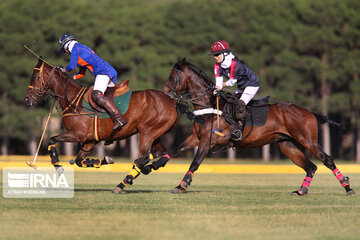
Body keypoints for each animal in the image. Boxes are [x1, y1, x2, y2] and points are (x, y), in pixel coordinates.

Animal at [23, 59, 179, 194]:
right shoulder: (90, 140)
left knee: (142, 158)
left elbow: (52, 139)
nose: (27, 99)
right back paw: (148, 169)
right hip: (155, 133)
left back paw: (121, 185)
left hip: (147, 132)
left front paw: (58, 165)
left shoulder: (77, 134)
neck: (74, 101)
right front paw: (104, 160)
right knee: (161, 154)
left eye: (35, 77)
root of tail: (171, 101)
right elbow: (79, 161)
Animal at [163, 58, 354, 197]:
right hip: (287, 145)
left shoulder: (209, 140)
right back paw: (302, 190)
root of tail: (310, 112)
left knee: (327, 159)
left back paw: (347, 187)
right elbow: (175, 150)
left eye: (172, 76)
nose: (166, 93)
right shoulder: (196, 137)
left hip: (308, 140)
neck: (209, 104)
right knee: (311, 167)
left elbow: (195, 162)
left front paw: (182, 185)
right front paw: (157, 164)